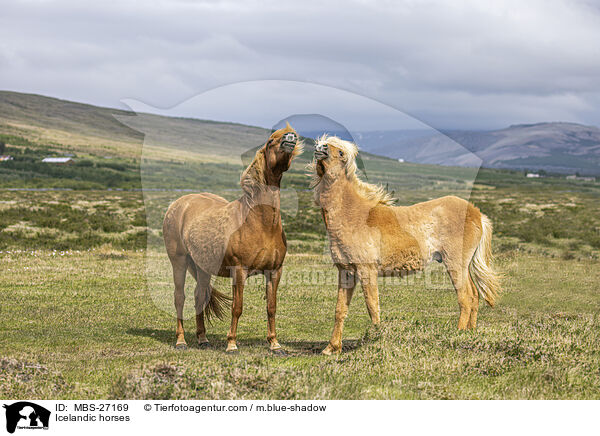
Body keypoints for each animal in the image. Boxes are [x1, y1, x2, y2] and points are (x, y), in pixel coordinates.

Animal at [162, 123, 302, 354]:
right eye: (270, 141)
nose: (290, 137)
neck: (259, 222)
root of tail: (178, 204)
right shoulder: (239, 271)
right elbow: (237, 308)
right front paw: (232, 344)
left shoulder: (274, 271)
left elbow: (271, 307)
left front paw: (275, 344)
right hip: (179, 261)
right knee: (179, 298)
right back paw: (181, 341)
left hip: (202, 267)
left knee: (199, 297)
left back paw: (203, 339)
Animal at [310, 135, 502, 354]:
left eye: (340, 152)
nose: (320, 147)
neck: (353, 215)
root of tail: (477, 213)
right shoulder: (346, 272)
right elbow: (340, 310)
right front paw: (331, 347)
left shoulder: (367, 271)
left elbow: (372, 306)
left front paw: (377, 339)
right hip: (464, 265)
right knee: (475, 296)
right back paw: (470, 333)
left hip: (455, 264)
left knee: (466, 297)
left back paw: (457, 334)